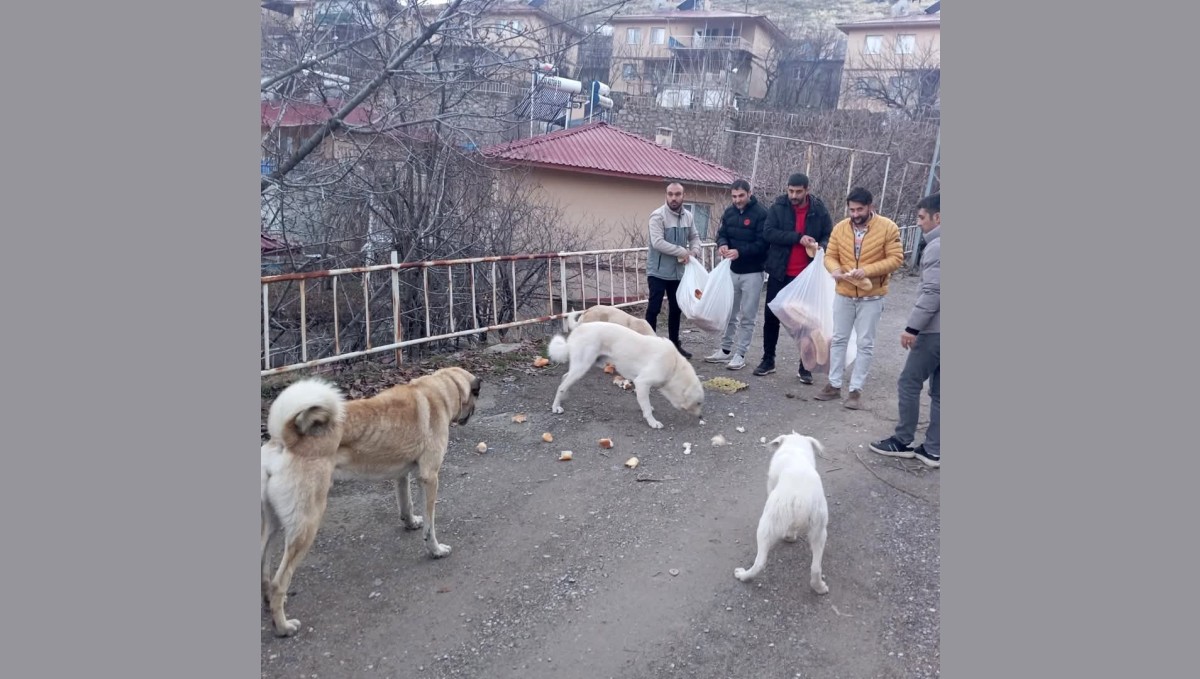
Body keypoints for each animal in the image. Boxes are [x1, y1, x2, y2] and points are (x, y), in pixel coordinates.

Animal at [260, 367, 480, 638]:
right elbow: (430, 527)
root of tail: (286, 438)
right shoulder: (430, 478)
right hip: (306, 525)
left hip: (274, 526)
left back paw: (268, 602)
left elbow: (406, 504)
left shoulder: (402, 474)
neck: (439, 388)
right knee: (280, 581)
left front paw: (410, 523)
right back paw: (283, 626)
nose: (472, 413)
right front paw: (436, 550)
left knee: (264, 567)